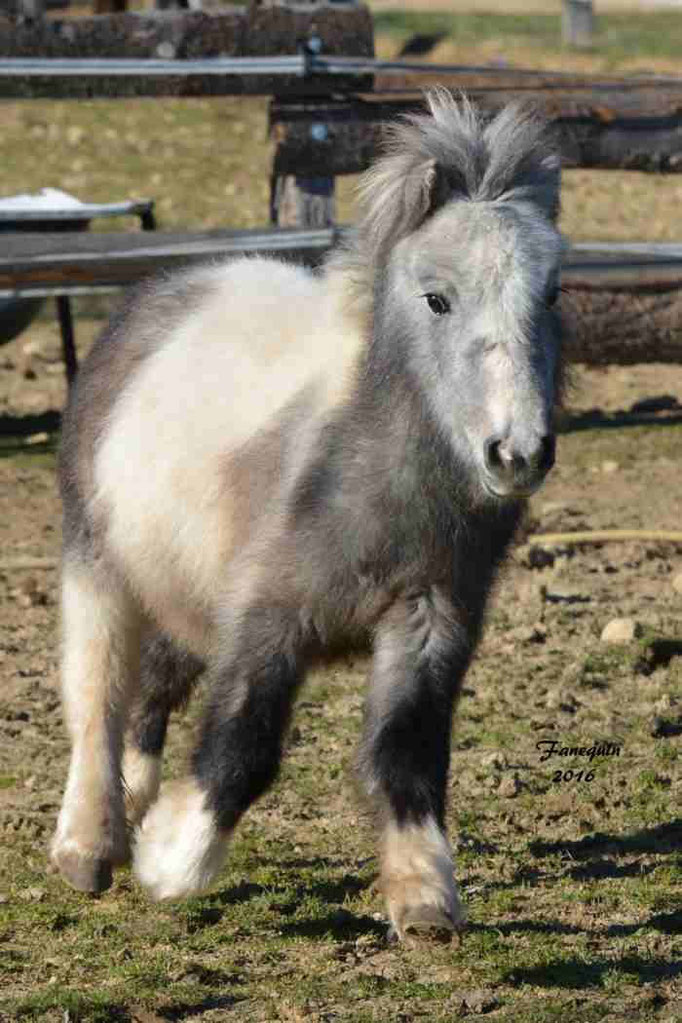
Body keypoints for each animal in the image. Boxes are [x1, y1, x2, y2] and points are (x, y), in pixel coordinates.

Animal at [52, 92, 564, 937]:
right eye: (437, 298)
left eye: (550, 294)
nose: (515, 452)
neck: (370, 468)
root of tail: (159, 296)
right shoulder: (270, 616)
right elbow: (244, 742)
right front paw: (172, 861)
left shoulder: (430, 618)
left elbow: (406, 751)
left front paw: (424, 898)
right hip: (99, 566)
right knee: (98, 695)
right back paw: (89, 846)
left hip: (187, 591)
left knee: (151, 694)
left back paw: (131, 806)